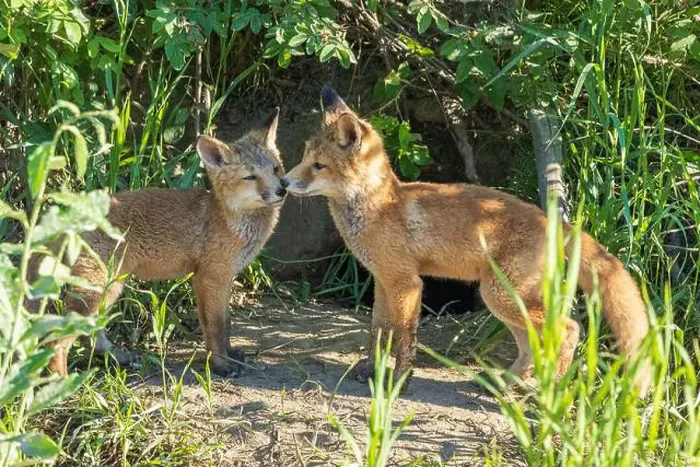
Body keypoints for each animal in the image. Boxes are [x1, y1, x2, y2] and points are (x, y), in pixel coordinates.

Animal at [28, 109, 287, 378]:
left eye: (276, 169)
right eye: (250, 177)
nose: (282, 190)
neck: (226, 219)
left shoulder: (224, 279)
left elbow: (225, 325)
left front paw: (230, 355)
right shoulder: (209, 278)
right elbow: (215, 329)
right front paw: (220, 365)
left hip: (109, 287)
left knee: (89, 335)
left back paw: (115, 357)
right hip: (98, 289)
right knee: (58, 340)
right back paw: (61, 379)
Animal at [283, 86, 653, 396]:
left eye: (319, 166)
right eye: (304, 158)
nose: (284, 183)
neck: (379, 206)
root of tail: (551, 220)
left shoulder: (407, 284)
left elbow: (403, 339)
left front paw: (400, 380)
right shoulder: (383, 282)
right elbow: (378, 333)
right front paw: (370, 370)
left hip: (501, 295)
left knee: (569, 329)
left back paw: (553, 388)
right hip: (502, 300)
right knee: (530, 344)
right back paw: (508, 382)